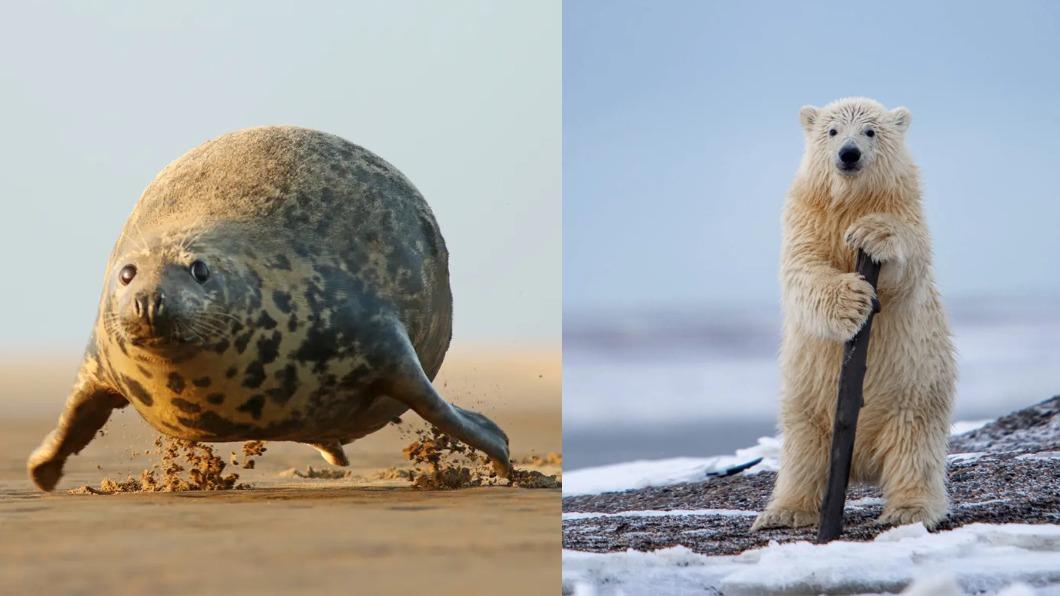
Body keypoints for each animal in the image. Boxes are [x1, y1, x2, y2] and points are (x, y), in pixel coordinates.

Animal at [751, 97, 956, 531]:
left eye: (870, 131)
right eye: (832, 131)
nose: (848, 154)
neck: (850, 201)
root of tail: (861, 464)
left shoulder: (906, 210)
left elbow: (906, 264)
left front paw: (871, 233)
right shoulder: (807, 217)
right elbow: (803, 269)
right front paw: (852, 301)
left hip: (917, 390)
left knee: (914, 450)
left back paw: (909, 509)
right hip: (806, 400)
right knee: (802, 453)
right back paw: (784, 511)